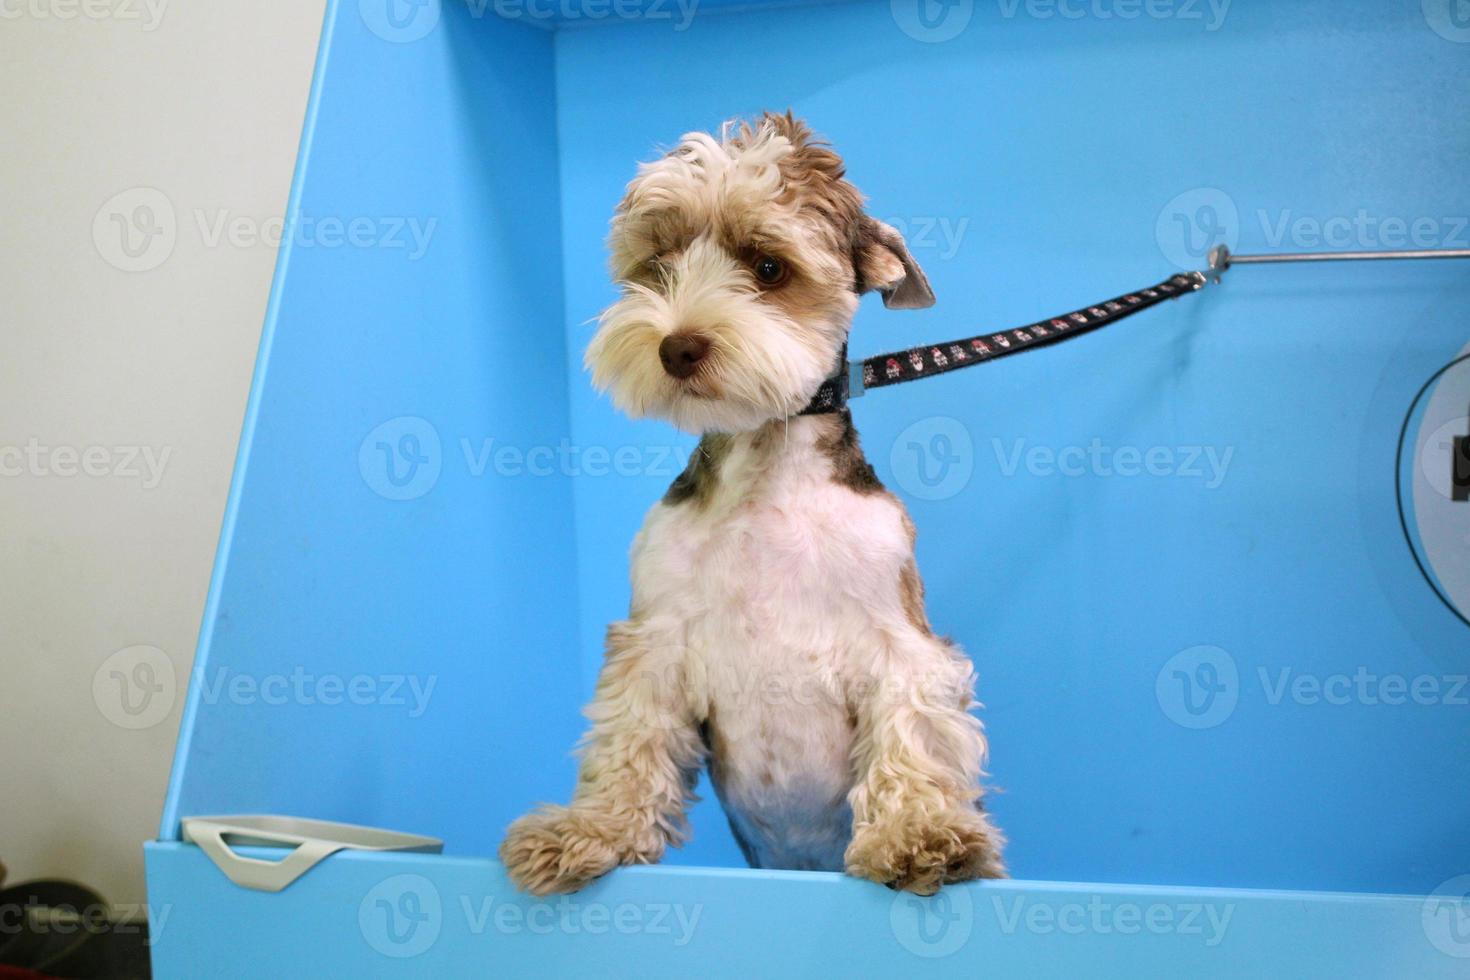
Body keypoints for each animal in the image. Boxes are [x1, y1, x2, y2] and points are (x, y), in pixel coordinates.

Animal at [499, 113, 1005, 899]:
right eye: (660, 261)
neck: (765, 475)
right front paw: (590, 831)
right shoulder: (654, 641)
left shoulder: (903, 644)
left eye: (768, 268)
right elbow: (628, 743)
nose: (678, 347)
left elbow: (912, 737)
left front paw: (919, 834)